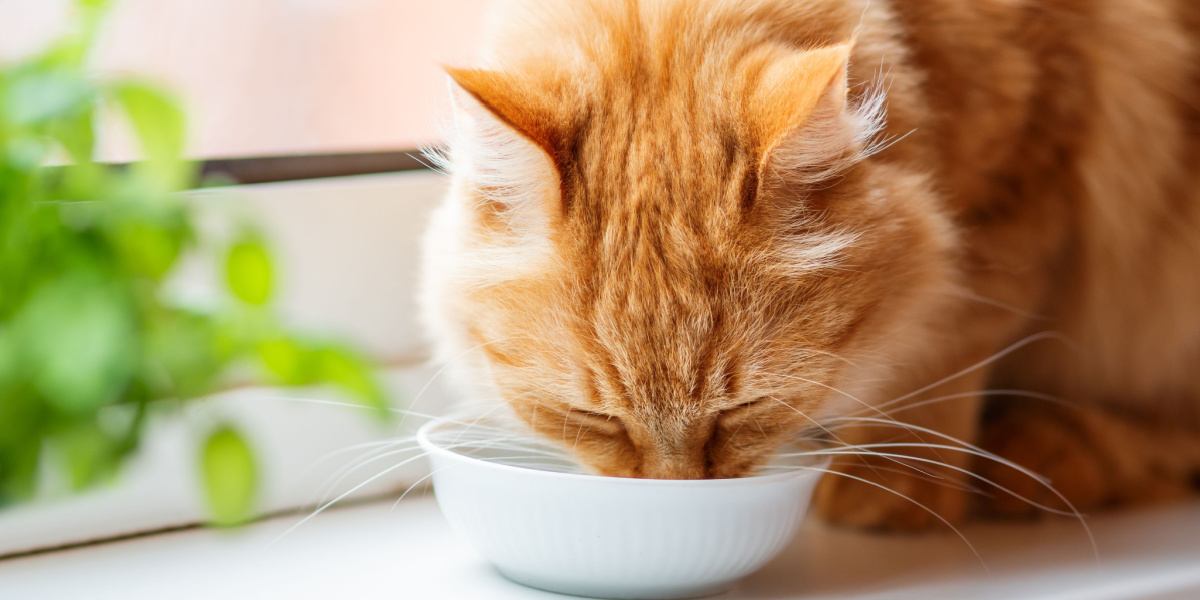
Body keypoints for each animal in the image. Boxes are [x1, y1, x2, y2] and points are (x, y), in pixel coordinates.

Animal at [420, 0, 1200, 530]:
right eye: (593, 418)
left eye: (743, 411)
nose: (677, 496)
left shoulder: (1029, 166)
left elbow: (946, 341)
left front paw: (894, 479)